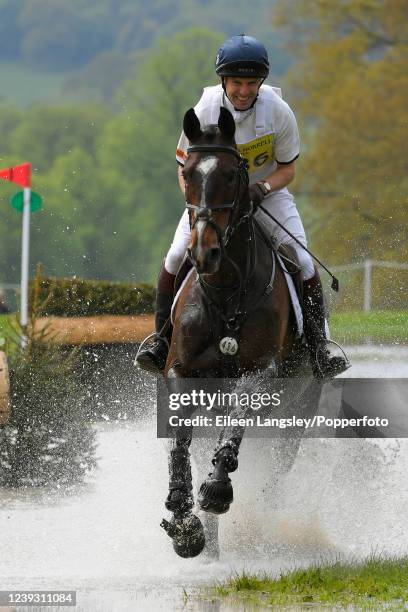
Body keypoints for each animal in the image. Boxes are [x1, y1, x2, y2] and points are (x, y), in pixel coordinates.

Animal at [159, 106, 316, 560]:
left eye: (232, 175)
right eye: (188, 173)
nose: (204, 253)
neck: (227, 288)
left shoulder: (261, 371)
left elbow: (238, 417)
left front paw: (216, 490)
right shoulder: (181, 370)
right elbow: (180, 439)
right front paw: (184, 522)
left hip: (295, 419)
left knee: (276, 474)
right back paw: (210, 544)